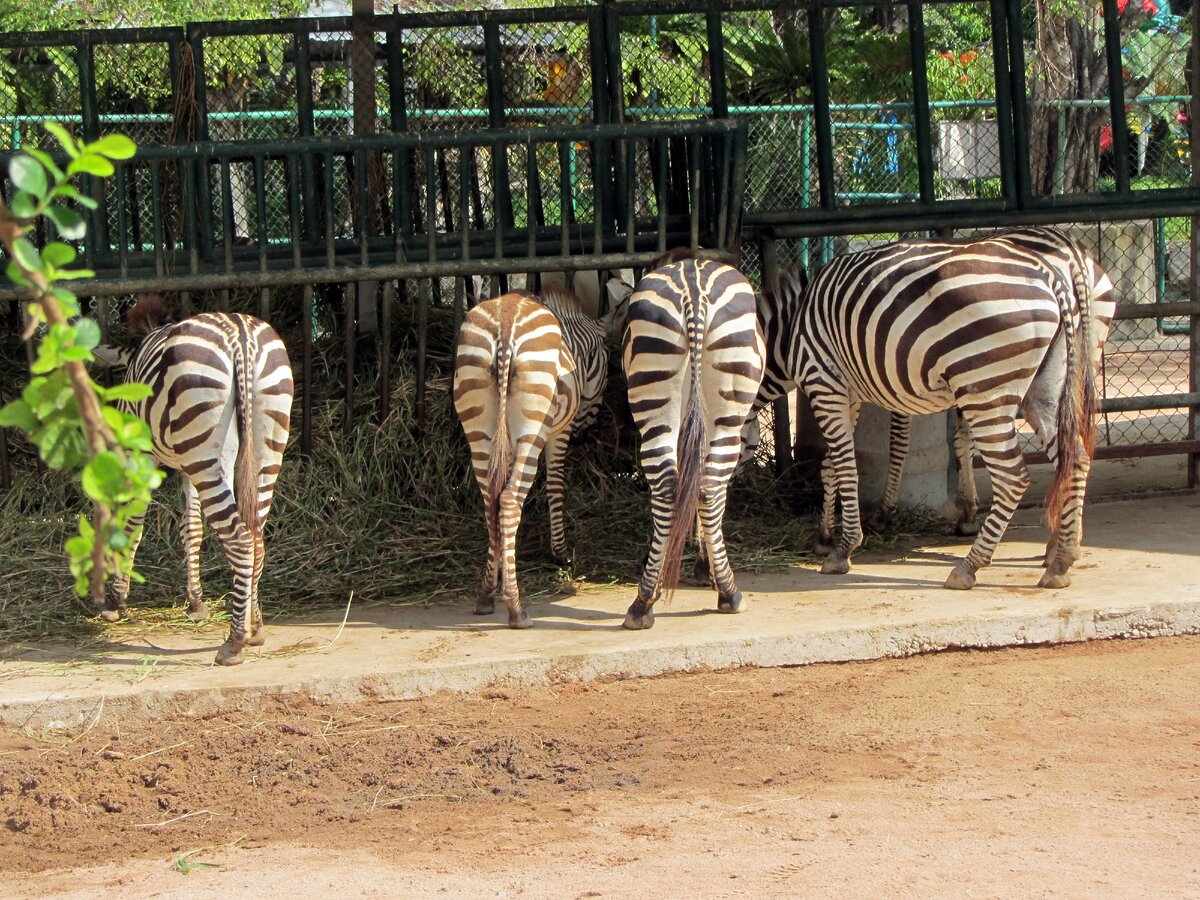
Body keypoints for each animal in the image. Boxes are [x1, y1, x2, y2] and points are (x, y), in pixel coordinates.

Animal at [94, 294, 295, 662]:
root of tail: (240, 337)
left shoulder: (141, 455)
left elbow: (133, 524)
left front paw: (115, 600)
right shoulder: (187, 467)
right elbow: (192, 528)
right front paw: (196, 601)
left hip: (204, 443)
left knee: (240, 539)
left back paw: (234, 642)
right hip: (259, 442)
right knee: (256, 537)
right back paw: (255, 627)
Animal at [451, 286, 619, 628]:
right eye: (607, 366)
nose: (586, 434)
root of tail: (504, 328)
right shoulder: (559, 432)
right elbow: (555, 486)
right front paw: (560, 552)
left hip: (478, 425)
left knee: (491, 501)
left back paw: (486, 596)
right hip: (533, 426)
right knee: (509, 499)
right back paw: (516, 608)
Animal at [614, 254, 763, 628]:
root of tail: (693, 292)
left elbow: (686, 486)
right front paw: (703, 564)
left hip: (655, 389)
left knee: (670, 486)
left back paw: (643, 601)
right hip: (728, 408)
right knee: (709, 487)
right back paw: (729, 593)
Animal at [744, 226, 1108, 592]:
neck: (789, 332)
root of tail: (1055, 270)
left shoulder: (824, 382)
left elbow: (846, 465)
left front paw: (843, 549)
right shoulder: (849, 393)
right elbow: (831, 466)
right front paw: (825, 536)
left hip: (984, 384)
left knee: (1013, 477)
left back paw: (969, 567)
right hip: (1049, 385)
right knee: (1075, 458)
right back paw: (1061, 559)